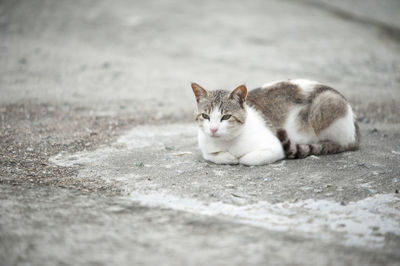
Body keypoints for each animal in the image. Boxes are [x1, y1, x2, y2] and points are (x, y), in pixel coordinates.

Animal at [191, 79, 360, 166]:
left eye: (226, 117)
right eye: (205, 116)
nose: (213, 129)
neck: (227, 142)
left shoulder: (275, 148)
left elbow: (247, 159)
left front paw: (238, 158)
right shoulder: (206, 148)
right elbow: (213, 155)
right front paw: (228, 157)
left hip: (326, 104)